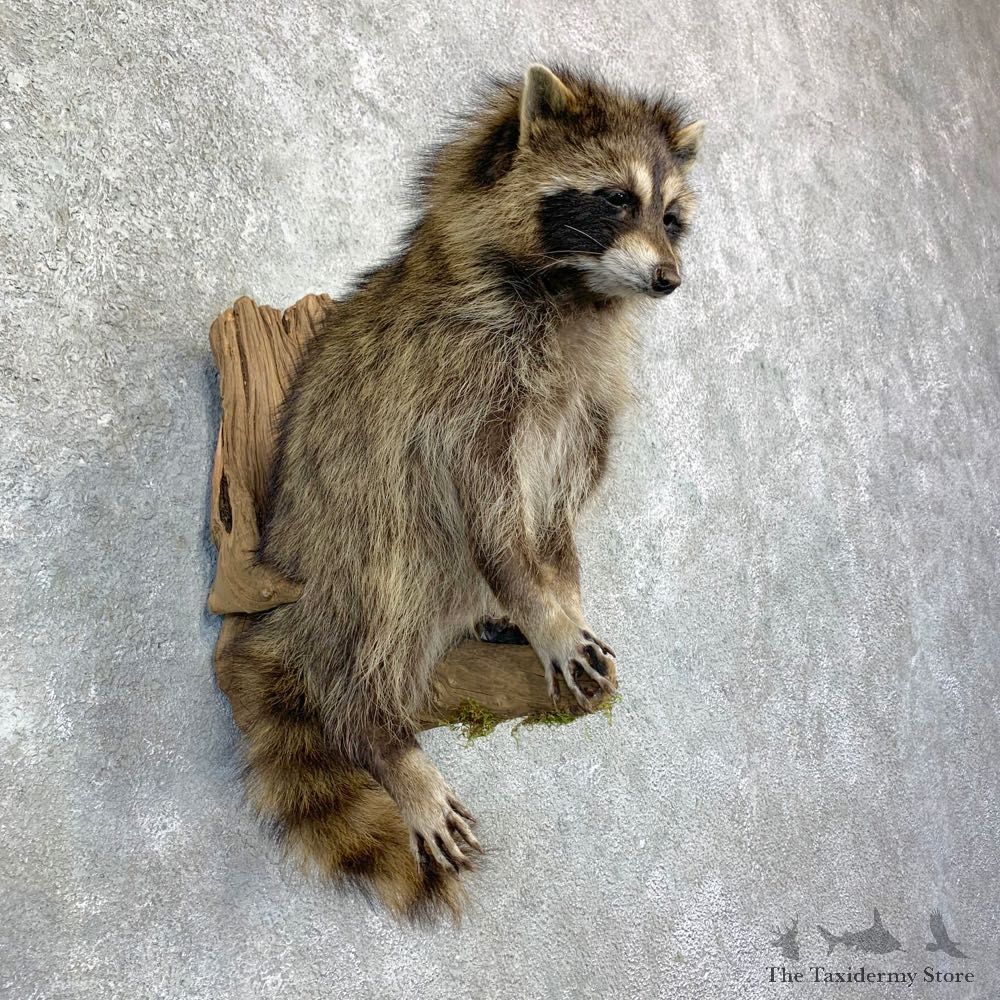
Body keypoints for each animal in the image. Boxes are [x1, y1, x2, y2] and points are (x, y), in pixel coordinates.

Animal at [223, 65, 703, 920]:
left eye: (672, 219)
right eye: (616, 199)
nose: (669, 280)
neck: (573, 293)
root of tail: (283, 621)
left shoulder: (583, 405)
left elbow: (559, 516)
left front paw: (560, 599)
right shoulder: (457, 386)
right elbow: (488, 509)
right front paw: (544, 614)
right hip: (350, 556)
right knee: (384, 588)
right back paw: (382, 733)